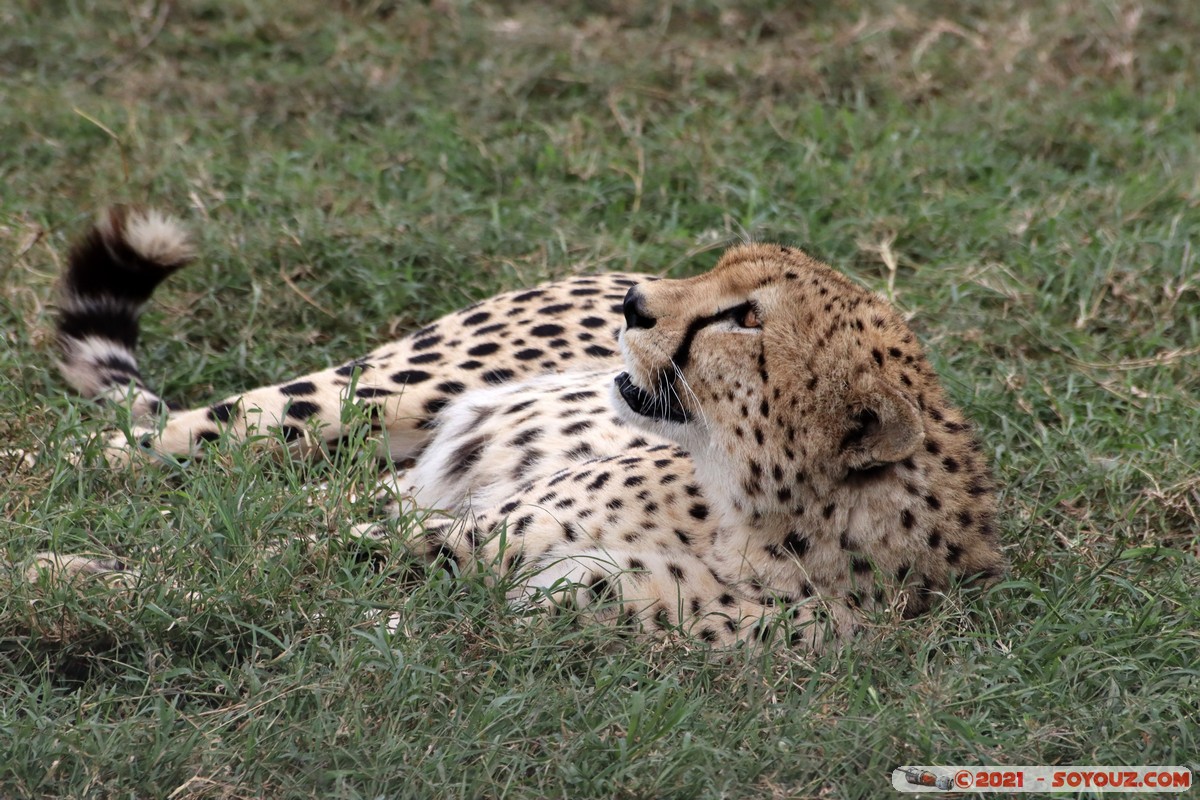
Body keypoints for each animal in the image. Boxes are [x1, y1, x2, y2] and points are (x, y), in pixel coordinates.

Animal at [37, 208, 1008, 652]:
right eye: (721, 270)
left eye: (742, 318)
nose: (636, 303)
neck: (762, 524)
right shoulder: (477, 535)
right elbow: (264, 569)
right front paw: (71, 587)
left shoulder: (535, 607)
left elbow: (315, 595)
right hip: (380, 394)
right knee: (157, 447)